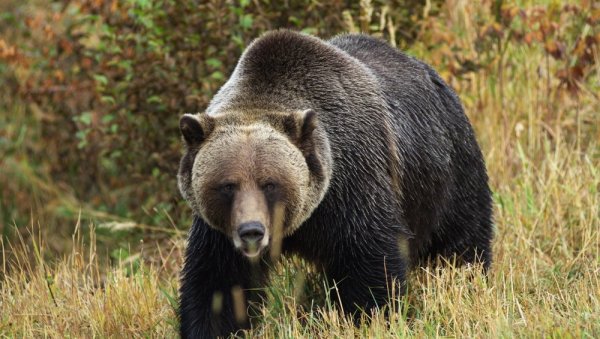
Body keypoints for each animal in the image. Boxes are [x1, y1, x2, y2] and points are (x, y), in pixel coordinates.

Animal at [177, 30, 492, 338]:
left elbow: (370, 263)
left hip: (446, 174)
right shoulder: (219, 232)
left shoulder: (352, 186)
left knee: (461, 244)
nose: (251, 231)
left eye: (270, 183)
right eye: (227, 185)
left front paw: (368, 317)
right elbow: (217, 283)